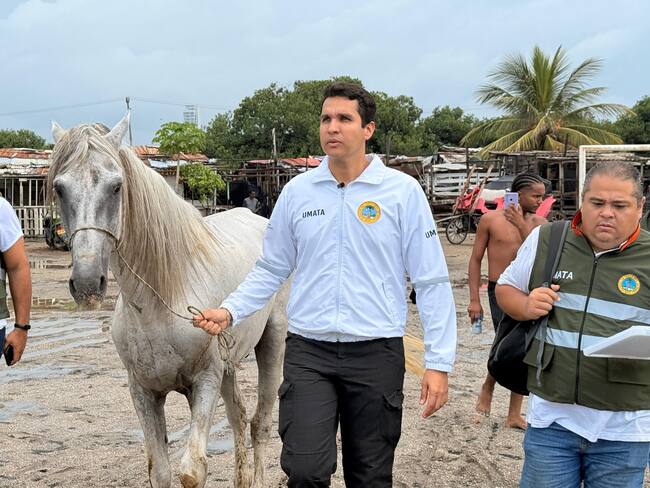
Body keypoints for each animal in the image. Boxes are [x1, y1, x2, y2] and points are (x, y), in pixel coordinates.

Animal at [48, 114, 288, 488]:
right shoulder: (143, 391)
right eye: (60, 188)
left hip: (272, 343)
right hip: (230, 365)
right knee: (237, 417)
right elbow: (160, 471)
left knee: (259, 424)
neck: (158, 306)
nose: (87, 284)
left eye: (116, 187)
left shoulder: (204, 381)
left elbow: (192, 470)